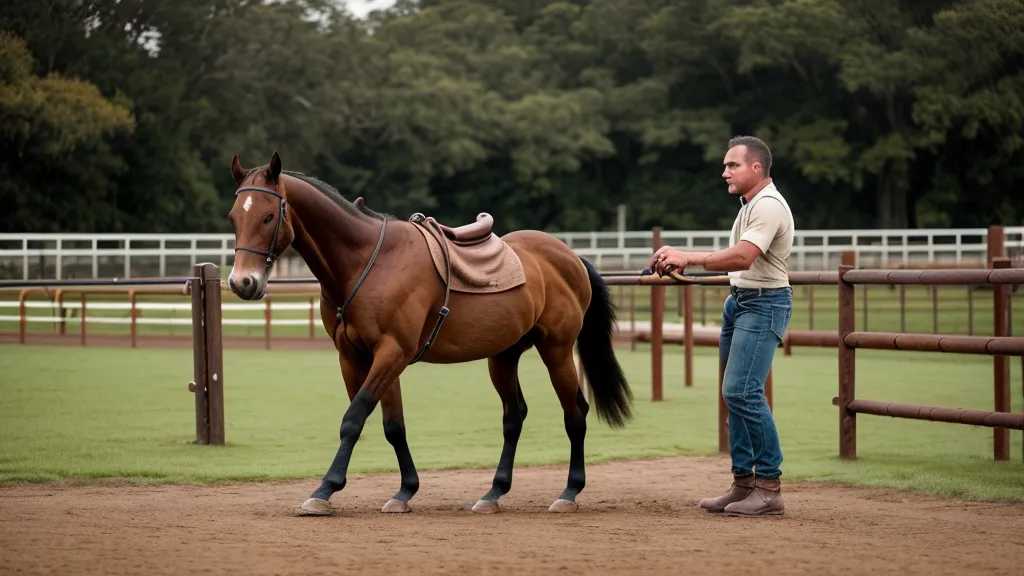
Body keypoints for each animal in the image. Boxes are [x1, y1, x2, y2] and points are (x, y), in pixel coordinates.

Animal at [225, 151, 633, 516]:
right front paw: (405, 491)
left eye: (267, 216)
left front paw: (325, 489)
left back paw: (569, 491)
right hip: (503, 356)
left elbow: (353, 419)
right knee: (514, 417)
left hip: (557, 351)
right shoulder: (355, 357)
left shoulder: (392, 353)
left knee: (574, 414)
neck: (368, 262)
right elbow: (392, 426)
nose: (243, 282)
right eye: (234, 217)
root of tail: (570, 257)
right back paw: (493, 493)